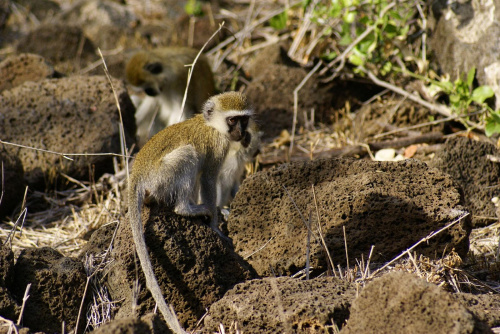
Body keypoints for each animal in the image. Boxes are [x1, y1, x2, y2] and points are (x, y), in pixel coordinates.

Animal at [127, 92, 252, 334]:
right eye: (233, 120)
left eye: (244, 120)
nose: (241, 133)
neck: (211, 125)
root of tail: (138, 174)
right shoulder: (218, 145)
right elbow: (208, 178)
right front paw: (214, 224)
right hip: (162, 176)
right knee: (188, 155)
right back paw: (187, 208)